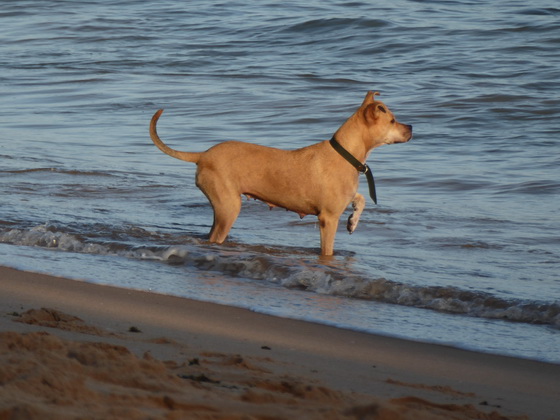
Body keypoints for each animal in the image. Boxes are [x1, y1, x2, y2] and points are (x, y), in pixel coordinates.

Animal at [149, 92, 412, 256]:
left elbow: (361, 198)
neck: (347, 153)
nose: (411, 127)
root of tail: (203, 155)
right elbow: (327, 249)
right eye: (392, 120)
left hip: (221, 206)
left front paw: (353, 221)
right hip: (229, 207)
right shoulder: (328, 218)